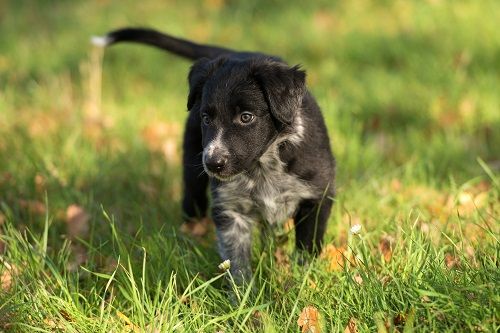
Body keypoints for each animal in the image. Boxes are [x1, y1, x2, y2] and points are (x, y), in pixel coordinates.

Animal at [94, 28, 336, 282]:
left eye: (246, 117)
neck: (264, 164)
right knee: (192, 205)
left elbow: (307, 248)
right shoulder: (229, 208)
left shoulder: (317, 197)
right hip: (192, 173)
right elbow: (236, 262)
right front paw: (244, 292)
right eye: (206, 118)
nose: (213, 164)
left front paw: (303, 281)